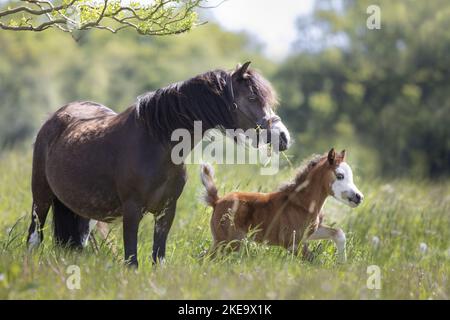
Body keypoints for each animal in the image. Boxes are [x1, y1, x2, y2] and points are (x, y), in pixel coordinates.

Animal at [27, 61, 292, 266]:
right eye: (252, 97)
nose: (283, 137)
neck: (157, 143)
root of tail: (56, 117)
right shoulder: (132, 210)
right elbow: (131, 261)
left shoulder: (167, 211)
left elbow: (158, 258)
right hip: (41, 196)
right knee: (34, 235)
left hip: (82, 209)